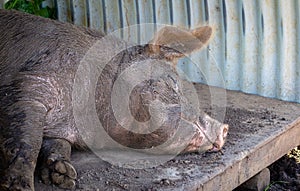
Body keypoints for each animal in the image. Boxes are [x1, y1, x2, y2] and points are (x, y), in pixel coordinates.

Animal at [0, 9, 227, 191]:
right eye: (173, 81)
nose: (224, 128)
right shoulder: (28, 84)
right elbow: (27, 141)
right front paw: (20, 187)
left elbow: (55, 144)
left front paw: (65, 175)